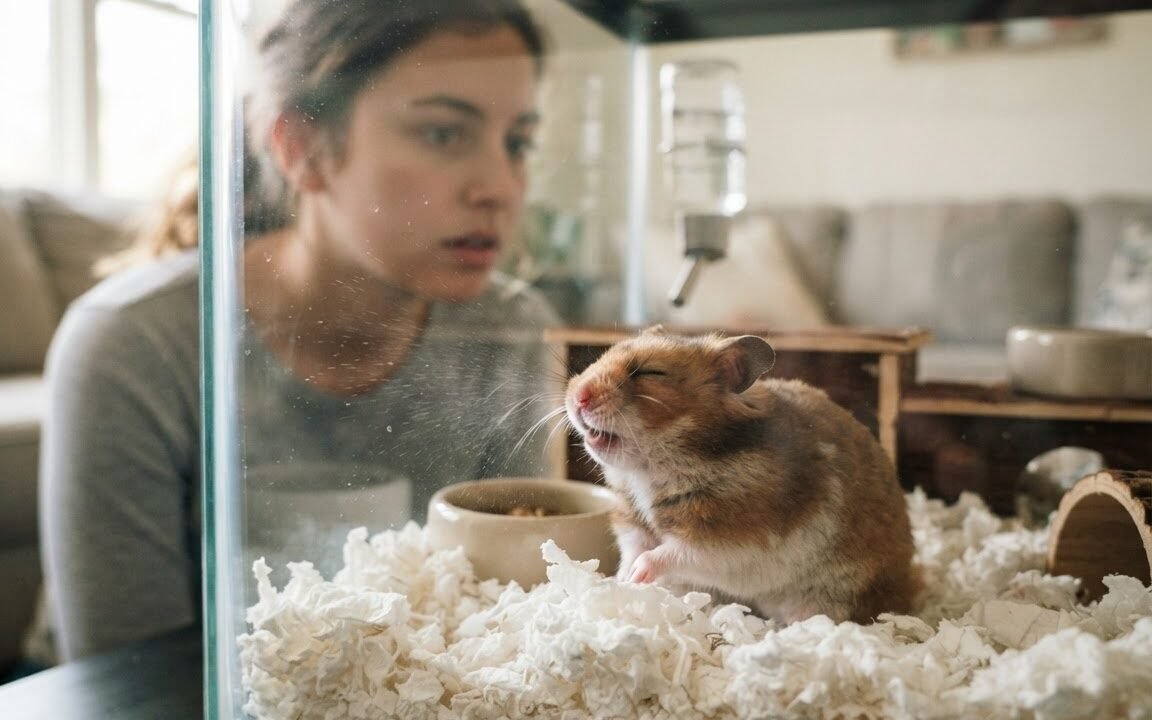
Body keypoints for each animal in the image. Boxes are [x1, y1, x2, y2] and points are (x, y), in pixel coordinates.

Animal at [564, 326, 921, 624]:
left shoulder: (728, 541)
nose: (578, 396)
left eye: (652, 372)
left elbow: (670, 553)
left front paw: (638, 576)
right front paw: (620, 580)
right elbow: (633, 547)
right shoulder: (632, 519)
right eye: (601, 356)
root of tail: (908, 589)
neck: (651, 469)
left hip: (834, 598)